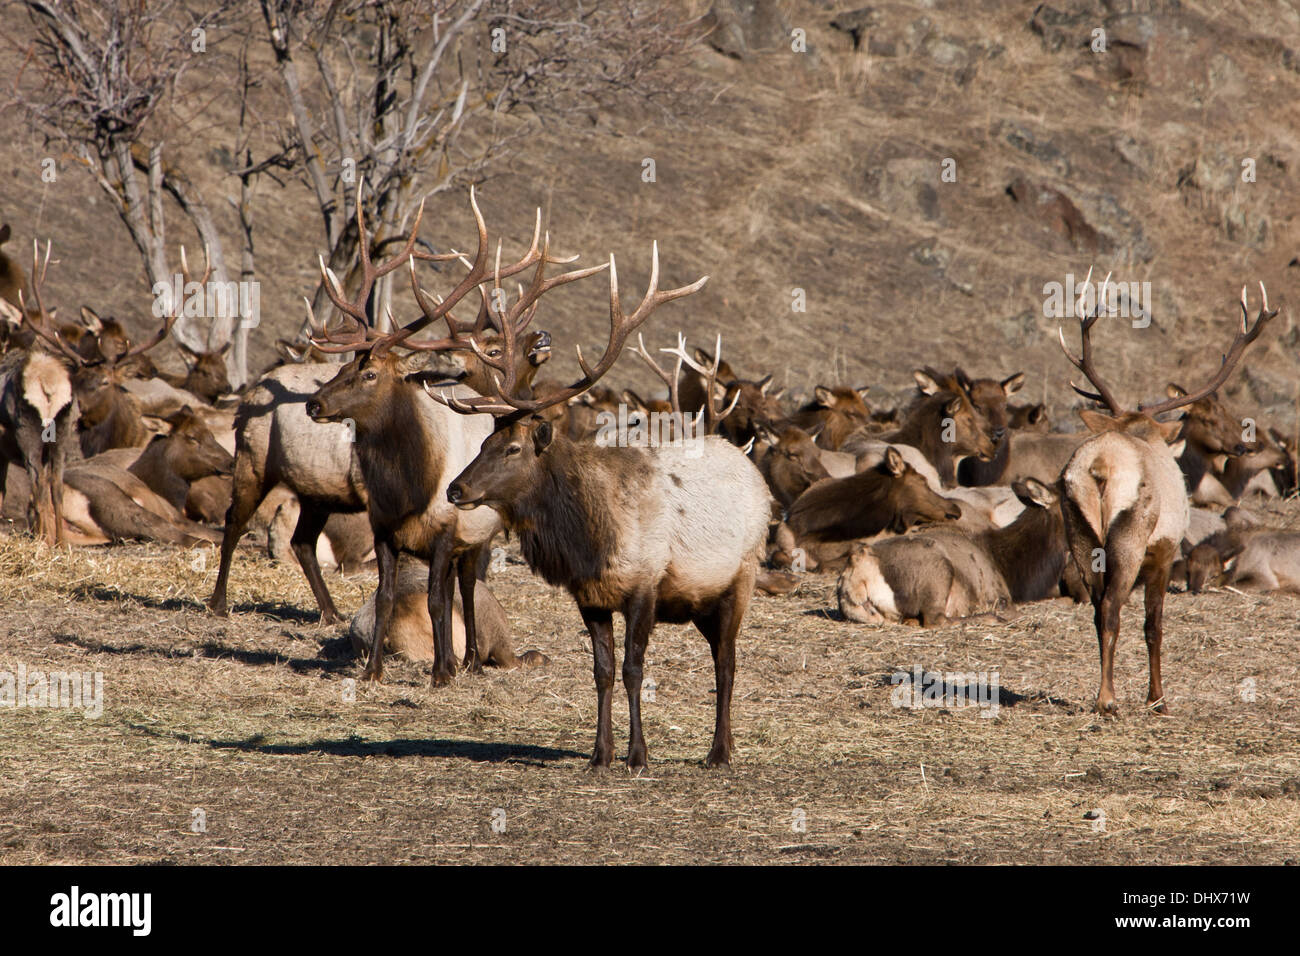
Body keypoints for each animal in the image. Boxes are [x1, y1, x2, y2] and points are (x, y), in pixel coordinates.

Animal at [427, 248, 770, 771]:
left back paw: (718, 752)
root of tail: (755, 472)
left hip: (741, 577)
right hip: (701, 600)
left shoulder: (645, 585)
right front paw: (600, 754)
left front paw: (638, 755)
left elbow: (633, 669)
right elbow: (602, 670)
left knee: (727, 663)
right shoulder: (589, 595)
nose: (455, 489)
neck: (590, 537)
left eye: (512, 449)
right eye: (484, 441)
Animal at [1056, 269, 1276, 715]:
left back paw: (1102, 693)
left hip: (1078, 529)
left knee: (1096, 607)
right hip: (1130, 536)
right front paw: (1157, 697)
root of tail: (1100, 466)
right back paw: (1107, 700)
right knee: (1111, 607)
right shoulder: (1164, 551)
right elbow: (1153, 625)